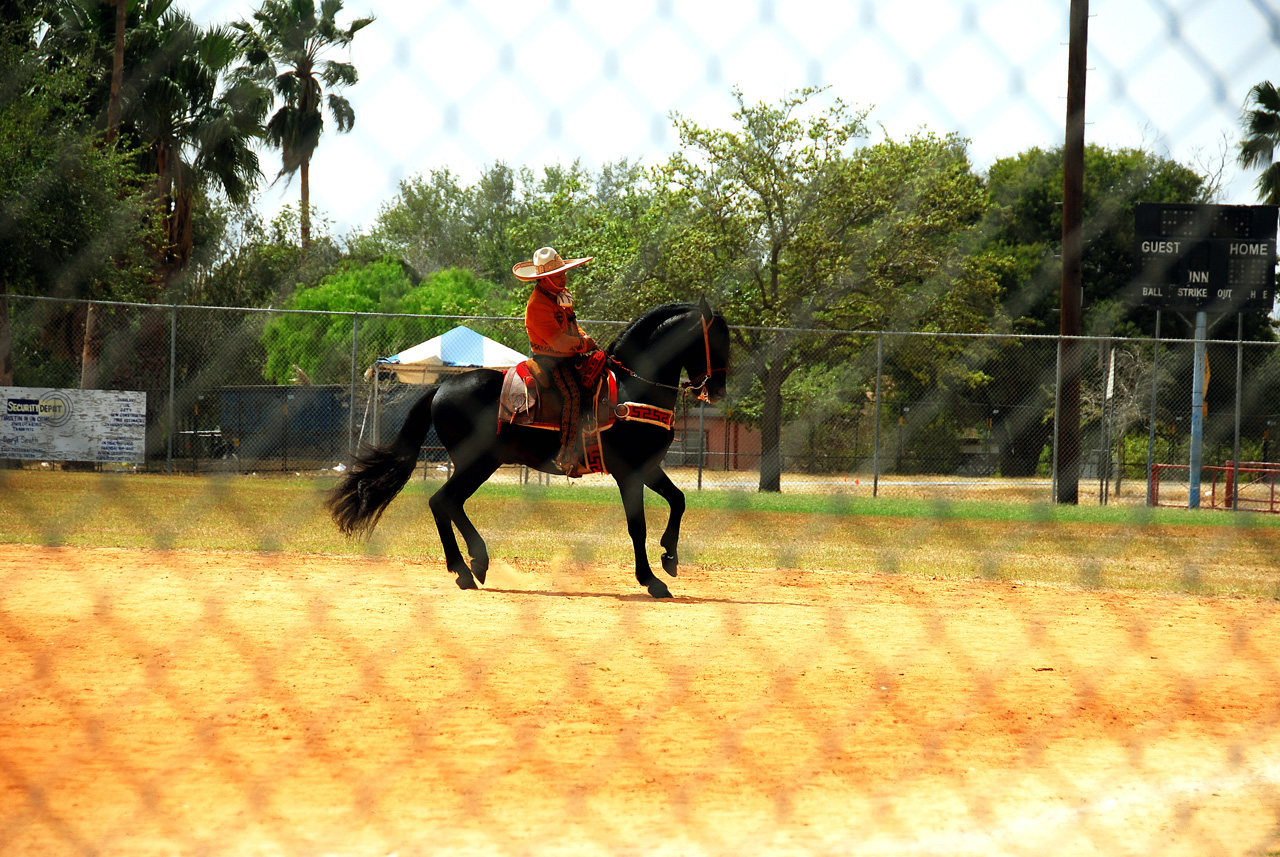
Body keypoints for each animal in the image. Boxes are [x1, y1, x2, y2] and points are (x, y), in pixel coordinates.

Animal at [330, 304, 732, 603]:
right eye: (716, 340)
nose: (718, 389)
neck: (634, 387)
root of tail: (441, 388)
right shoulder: (629, 472)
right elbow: (638, 526)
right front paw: (651, 580)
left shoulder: (648, 468)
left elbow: (678, 500)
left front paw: (670, 557)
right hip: (478, 462)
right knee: (442, 501)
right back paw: (467, 567)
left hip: (480, 463)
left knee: (449, 503)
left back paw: (474, 565)